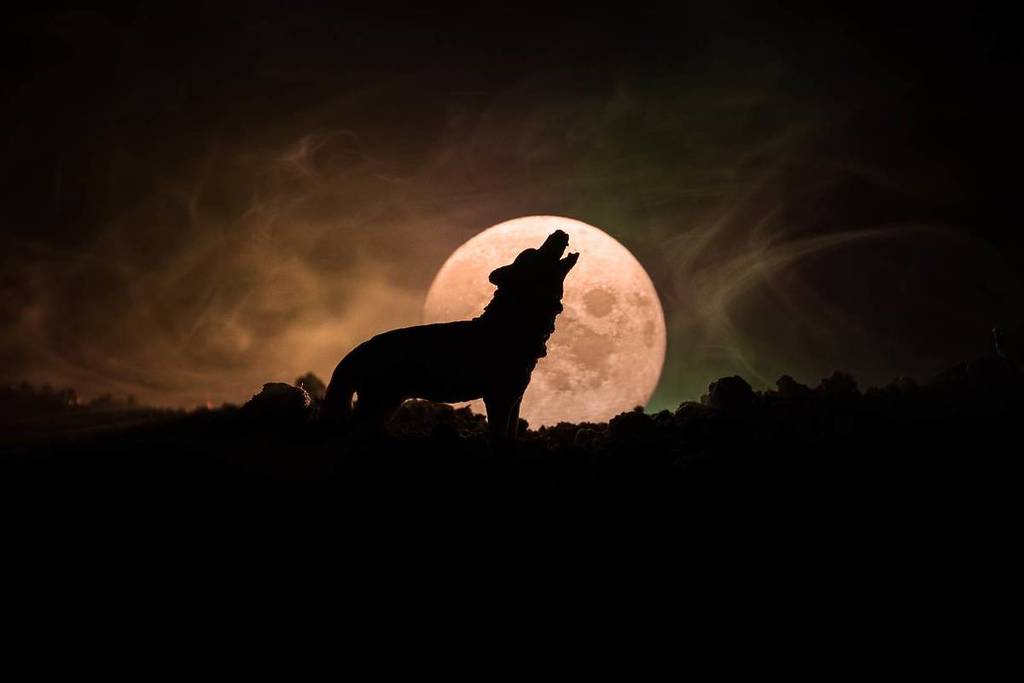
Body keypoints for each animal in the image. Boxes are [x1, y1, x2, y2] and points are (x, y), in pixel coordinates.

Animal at [322, 230, 578, 441]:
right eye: (533, 254)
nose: (558, 230)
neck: (514, 322)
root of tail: (358, 350)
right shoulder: (498, 399)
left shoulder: (515, 400)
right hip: (376, 407)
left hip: (385, 408)